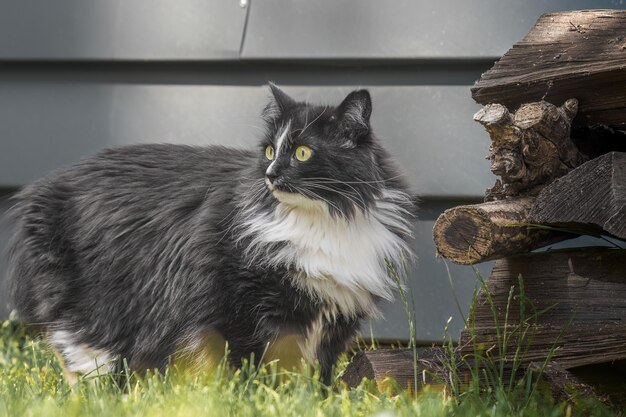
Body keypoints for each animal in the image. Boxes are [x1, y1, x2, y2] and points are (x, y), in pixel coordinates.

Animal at [6, 84, 414, 384]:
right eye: (270, 151)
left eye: (302, 152)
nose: (270, 175)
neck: (323, 220)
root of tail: (42, 186)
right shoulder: (247, 302)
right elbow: (260, 363)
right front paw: (262, 396)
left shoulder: (337, 314)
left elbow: (320, 373)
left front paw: (314, 399)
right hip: (84, 300)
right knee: (80, 354)